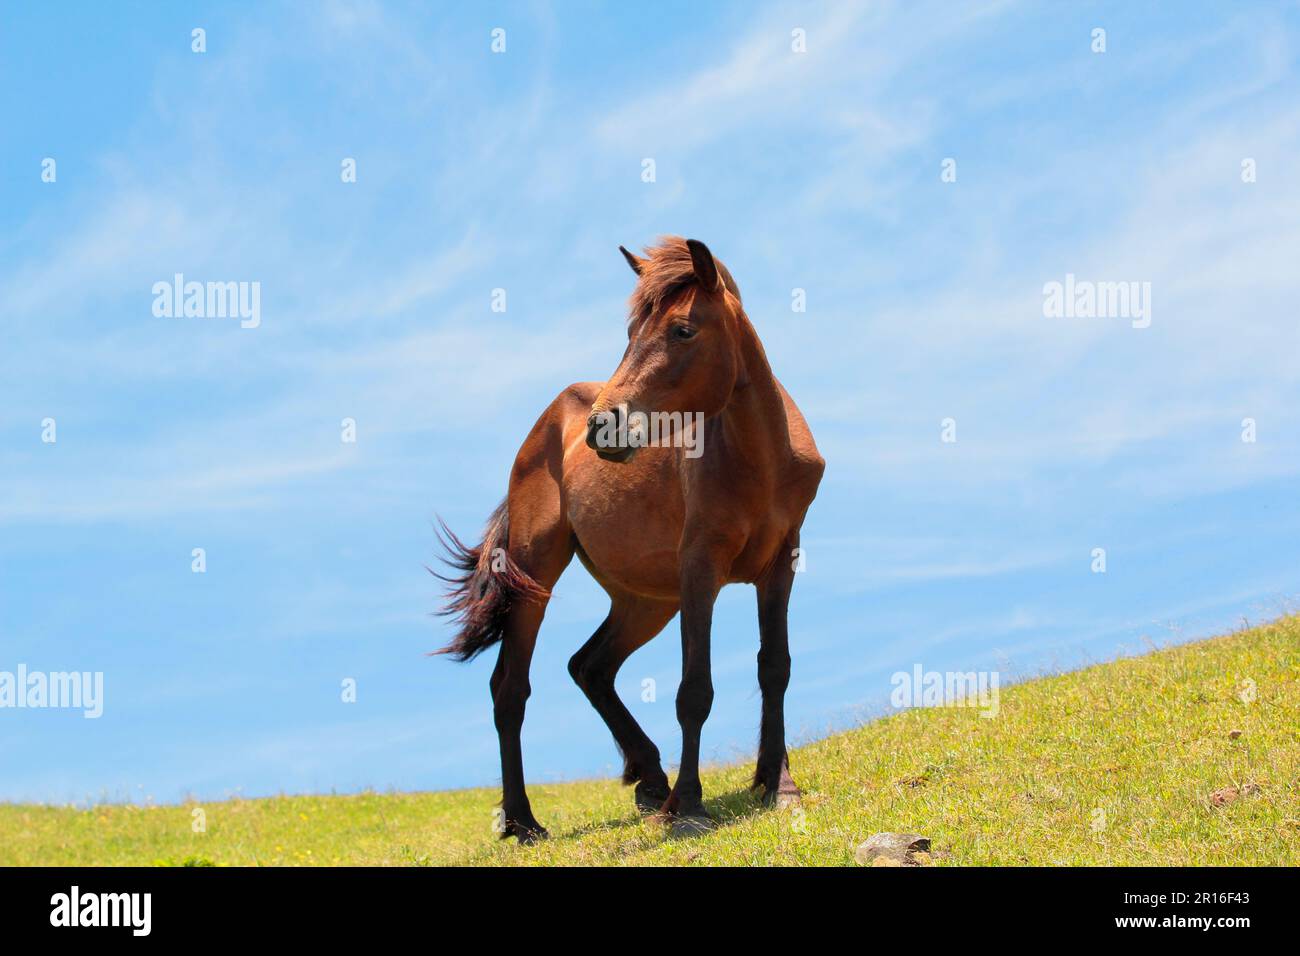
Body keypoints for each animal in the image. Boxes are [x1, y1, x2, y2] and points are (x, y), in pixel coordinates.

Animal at [436, 235, 821, 842]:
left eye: (683, 330)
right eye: (631, 334)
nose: (602, 427)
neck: (759, 461)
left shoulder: (780, 563)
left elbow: (774, 668)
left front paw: (779, 787)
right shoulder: (700, 570)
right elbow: (695, 690)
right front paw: (690, 805)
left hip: (646, 602)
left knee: (589, 667)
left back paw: (649, 778)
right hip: (536, 575)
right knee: (510, 689)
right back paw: (524, 821)